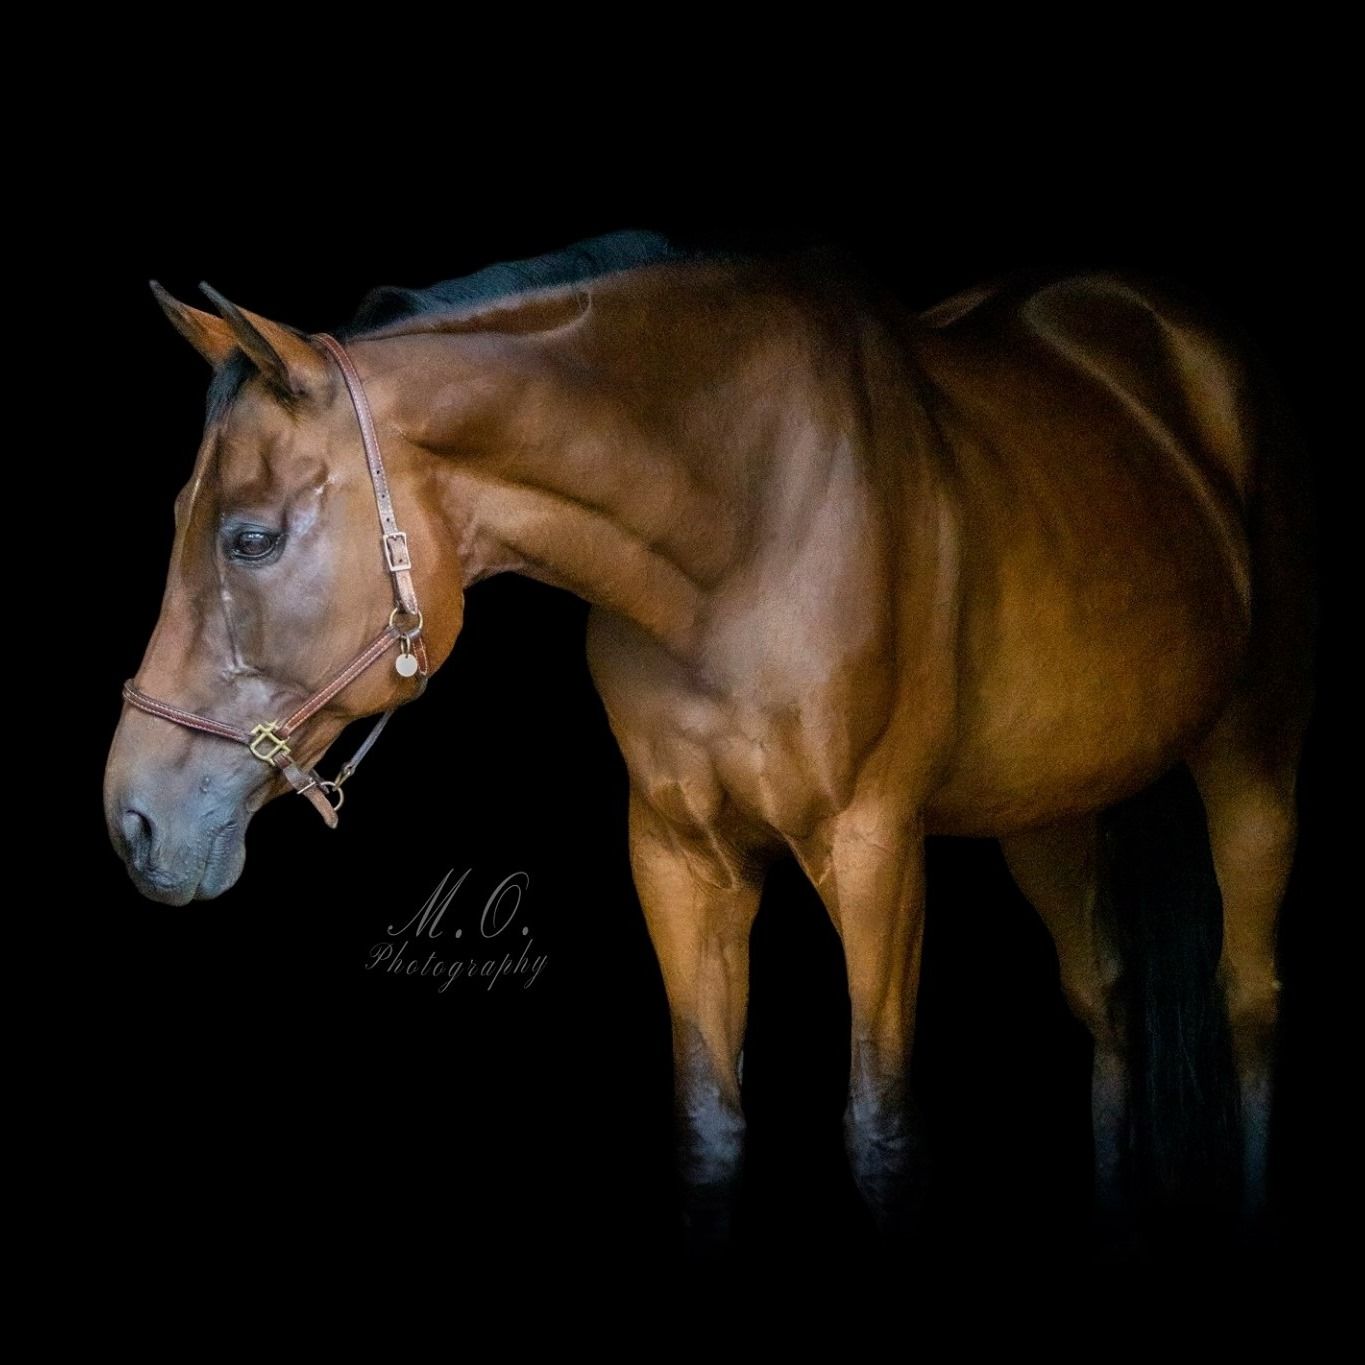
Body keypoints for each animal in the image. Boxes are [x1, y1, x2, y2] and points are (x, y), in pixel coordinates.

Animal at [103, 229, 1318, 1248]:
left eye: (249, 539)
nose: (135, 821)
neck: (744, 525)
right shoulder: (681, 858)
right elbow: (709, 1126)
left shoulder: (875, 851)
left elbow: (881, 1133)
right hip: (1050, 813)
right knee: (1107, 1006)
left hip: (1252, 755)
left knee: (1248, 1001)